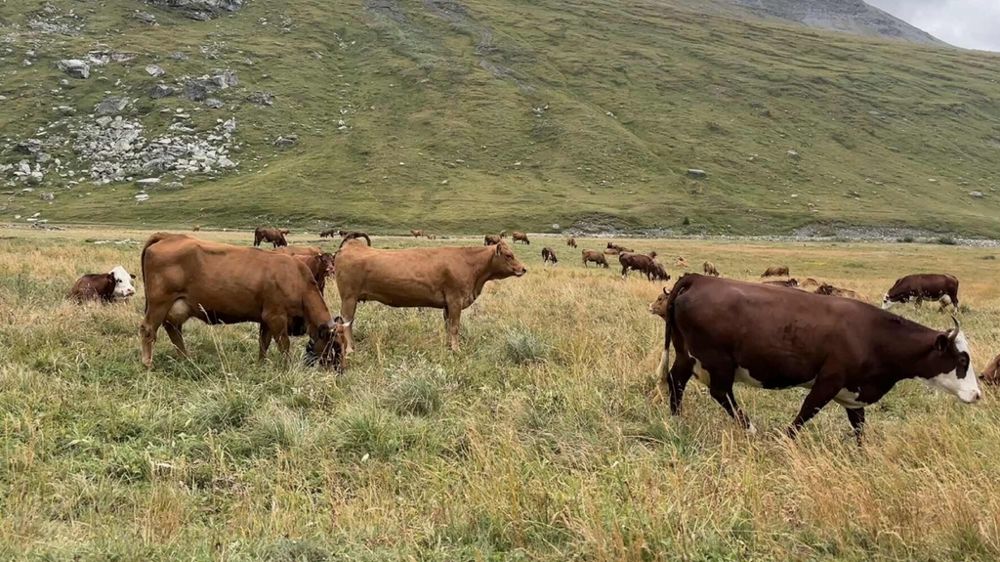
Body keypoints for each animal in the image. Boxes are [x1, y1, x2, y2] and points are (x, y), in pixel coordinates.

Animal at [139, 234, 343, 370]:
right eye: (335, 345)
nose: (340, 370)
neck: (297, 279)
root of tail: (168, 236)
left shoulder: (266, 318)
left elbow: (264, 343)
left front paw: (261, 365)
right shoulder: (276, 316)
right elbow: (283, 344)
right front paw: (287, 367)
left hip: (175, 307)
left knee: (174, 331)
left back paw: (186, 359)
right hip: (159, 303)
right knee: (148, 330)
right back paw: (148, 363)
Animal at [334, 240, 526, 352]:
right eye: (509, 255)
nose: (523, 268)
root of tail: (350, 247)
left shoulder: (448, 304)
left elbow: (448, 326)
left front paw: (449, 346)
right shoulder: (455, 300)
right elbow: (455, 327)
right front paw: (456, 350)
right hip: (349, 298)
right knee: (346, 322)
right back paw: (350, 349)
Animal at [651, 274, 981, 442]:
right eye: (962, 361)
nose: (977, 395)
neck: (872, 334)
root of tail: (698, 279)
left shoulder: (853, 393)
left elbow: (859, 427)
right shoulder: (829, 380)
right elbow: (806, 411)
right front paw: (784, 439)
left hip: (686, 355)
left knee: (676, 381)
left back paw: (677, 419)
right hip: (718, 362)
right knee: (721, 393)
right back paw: (751, 429)